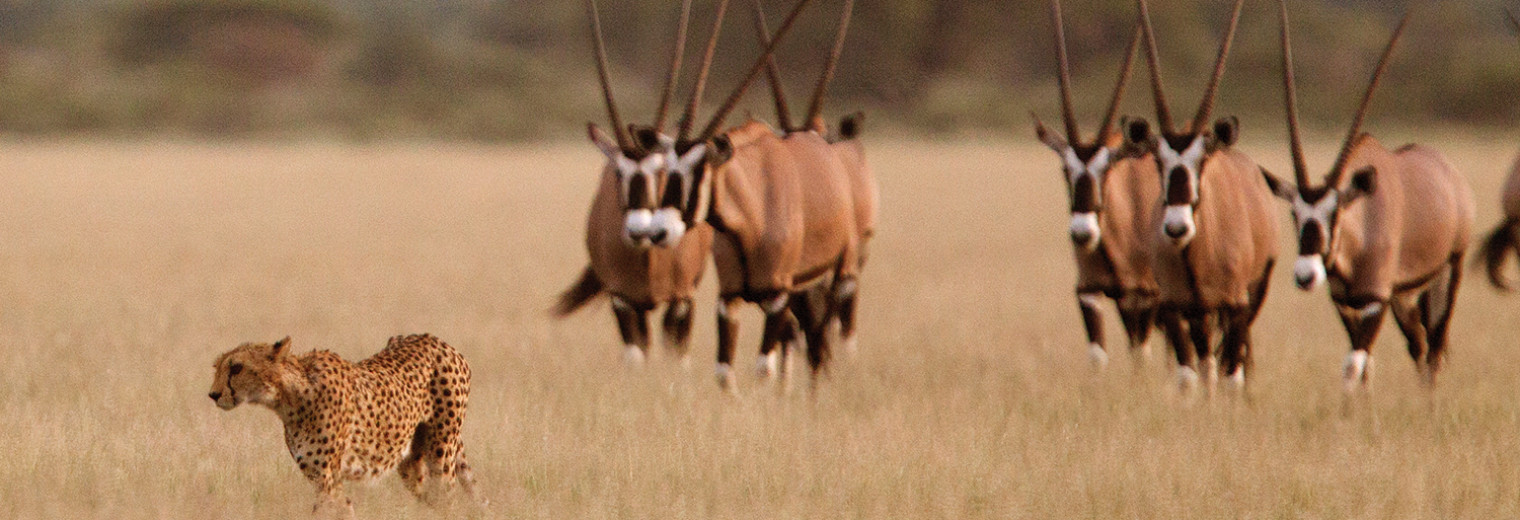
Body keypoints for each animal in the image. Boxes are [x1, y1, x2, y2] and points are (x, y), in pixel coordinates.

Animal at [211, 334, 477, 516]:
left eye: (237, 368)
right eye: (217, 367)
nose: (213, 394)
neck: (290, 397)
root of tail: (437, 340)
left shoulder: (327, 476)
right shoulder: (320, 476)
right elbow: (341, 508)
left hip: (441, 451)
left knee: (447, 497)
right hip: (412, 463)